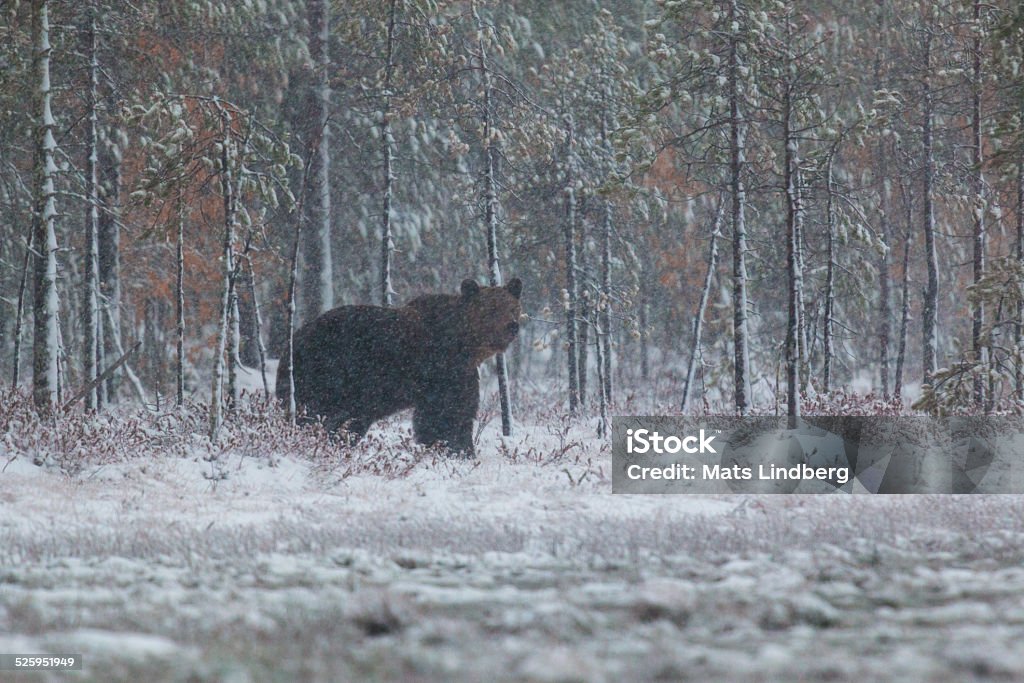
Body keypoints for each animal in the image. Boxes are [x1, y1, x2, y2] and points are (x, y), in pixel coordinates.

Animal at [276, 274, 524, 456]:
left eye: (512, 307)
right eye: (491, 309)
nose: (512, 326)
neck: (466, 345)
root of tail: (293, 342)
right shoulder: (444, 369)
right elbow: (448, 412)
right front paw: (458, 449)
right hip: (329, 373)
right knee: (317, 413)